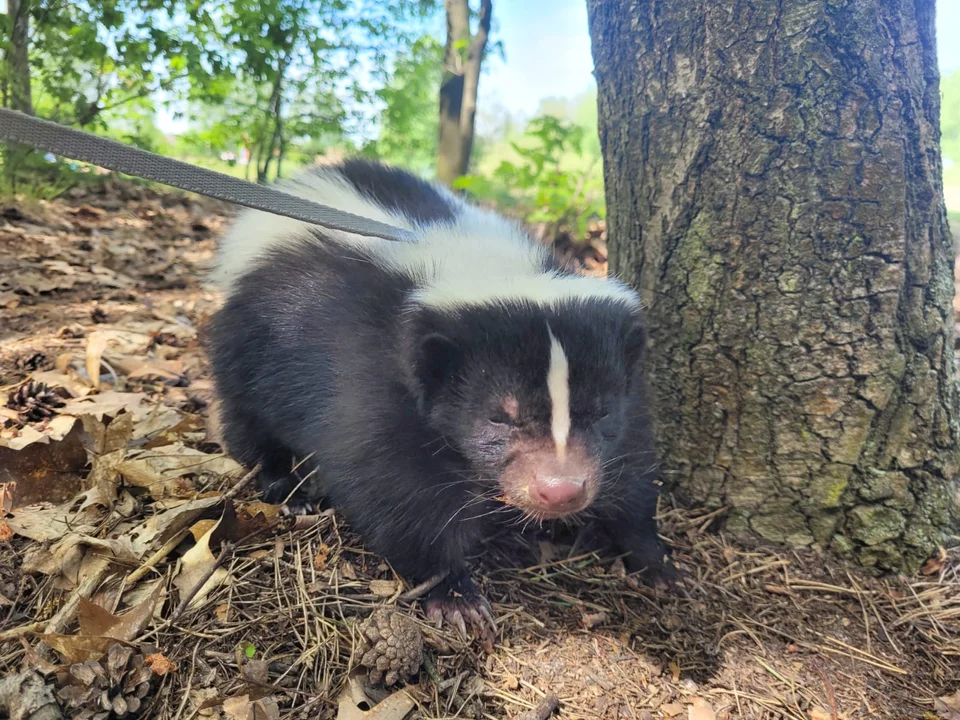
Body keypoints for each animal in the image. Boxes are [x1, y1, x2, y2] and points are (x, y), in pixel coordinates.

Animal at [208, 160, 676, 640]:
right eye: (499, 417)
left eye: (602, 411)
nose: (561, 490)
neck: (482, 261)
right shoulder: (372, 384)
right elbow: (398, 494)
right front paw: (455, 595)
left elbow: (632, 466)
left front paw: (652, 558)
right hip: (253, 340)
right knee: (248, 420)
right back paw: (287, 488)